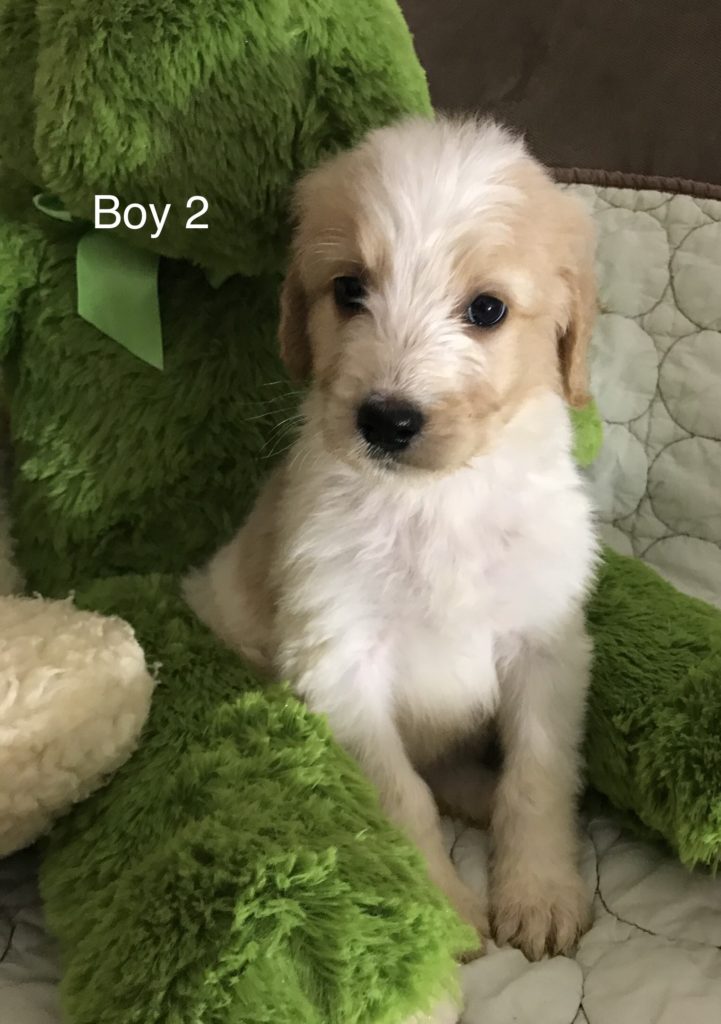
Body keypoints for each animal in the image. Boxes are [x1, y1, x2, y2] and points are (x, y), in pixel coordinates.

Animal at [186, 116, 598, 962]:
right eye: (349, 289)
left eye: (486, 309)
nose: (385, 420)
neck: (435, 502)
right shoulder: (339, 661)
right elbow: (398, 795)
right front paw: (443, 910)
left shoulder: (546, 643)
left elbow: (538, 777)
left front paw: (539, 893)